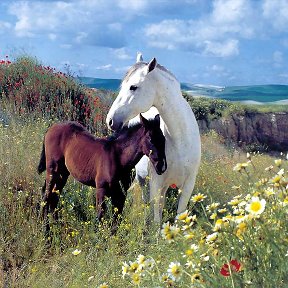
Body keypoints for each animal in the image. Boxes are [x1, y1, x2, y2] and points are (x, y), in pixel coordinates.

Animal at [105, 56, 200, 223]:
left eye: (133, 87)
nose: (110, 120)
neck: (180, 141)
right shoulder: (156, 183)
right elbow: (156, 218)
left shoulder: (188, 185)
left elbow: (178, 218)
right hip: (144, 180)